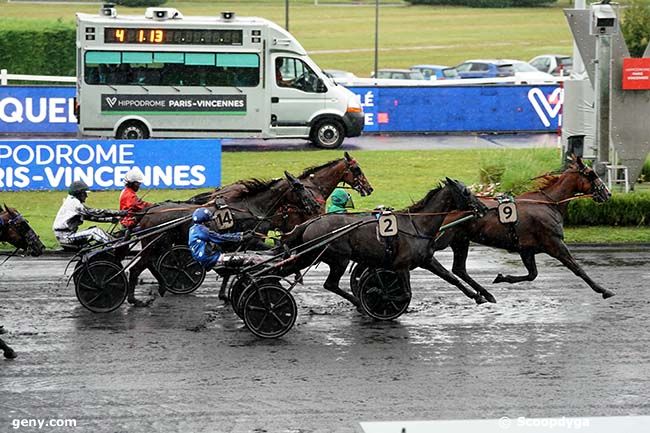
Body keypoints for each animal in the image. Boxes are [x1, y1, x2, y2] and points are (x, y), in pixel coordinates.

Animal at [123, 170, 320, 306]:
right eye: (300, 187)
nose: (315, 205)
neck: (251, 208)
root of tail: (147, 213)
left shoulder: (236, 244)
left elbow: (229, 269)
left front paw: (225, 294)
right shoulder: (253, 240)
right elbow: (272, 251)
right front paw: (295, 269)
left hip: (159, 246)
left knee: (149, 264)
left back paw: (161, 287)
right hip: (155, 244)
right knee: (137, 267)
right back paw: (134, 299)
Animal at [280, 177, 488, 306]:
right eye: (466, 192)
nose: (485, 208)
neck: (417, 225)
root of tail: (310, 223)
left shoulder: (427, 260)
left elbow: (451, 277)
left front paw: (478, 296)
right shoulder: (401, 265)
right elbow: (405, 293)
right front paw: (377, 293)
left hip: (312, 255)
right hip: (339, 258)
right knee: (330, 284)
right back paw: (358, 303)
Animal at [432, 156, 616, 300]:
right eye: (592, 174)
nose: (607, 194)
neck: (549, 203)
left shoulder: (526, 249)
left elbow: (532, 275)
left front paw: (502, 277)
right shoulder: (554, 243)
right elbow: (577, 268)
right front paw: (603, 290)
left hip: (460, 240)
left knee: (459, 269)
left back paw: (485, 295)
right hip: (443, 239)